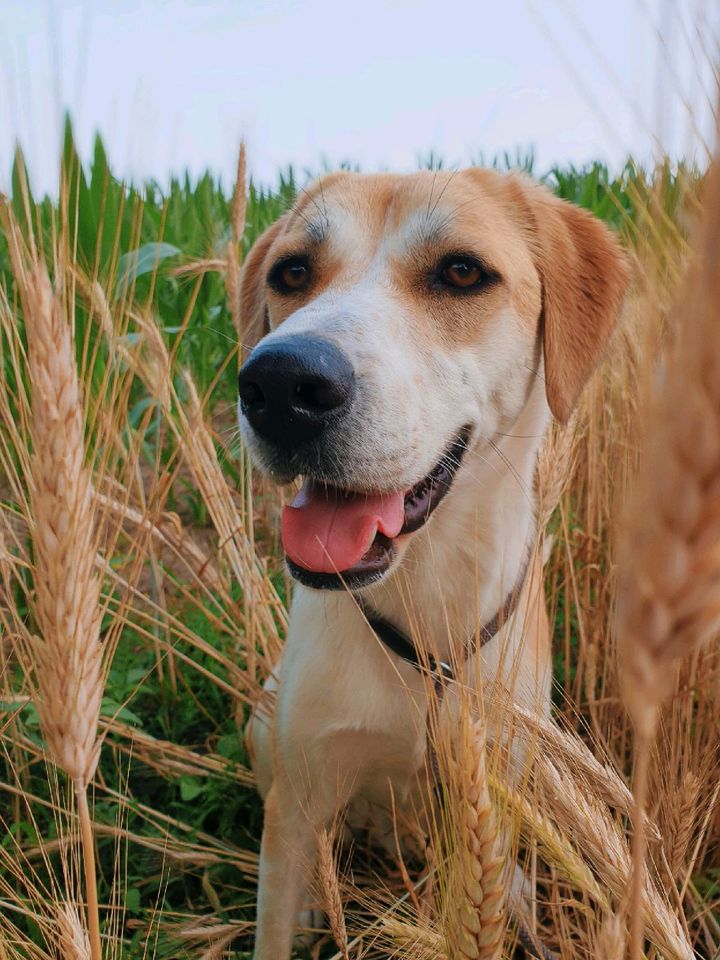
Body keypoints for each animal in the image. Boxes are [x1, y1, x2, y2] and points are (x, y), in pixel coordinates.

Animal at [238, 169, 632, 956]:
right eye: (292, 272)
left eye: (461, 272)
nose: (280, 385)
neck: (423, 606)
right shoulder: (299, 795)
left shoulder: (493, 789)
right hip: (264, 729)